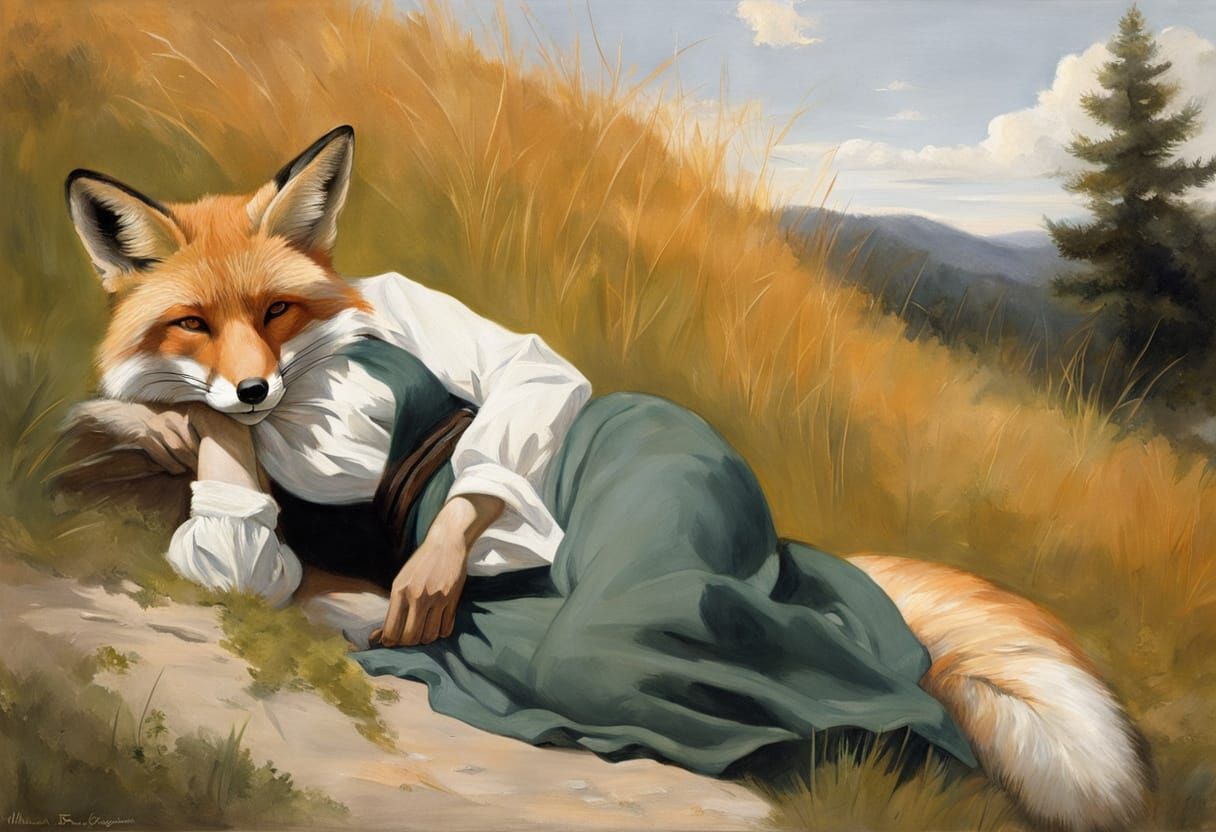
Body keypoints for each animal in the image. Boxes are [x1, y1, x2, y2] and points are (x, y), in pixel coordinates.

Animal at [61, 125, 1150, 831]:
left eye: (276, 311)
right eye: (192, 323)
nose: (249, 389)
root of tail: (791, 556)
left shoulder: (434, 322)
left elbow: (524, 374)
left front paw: (429, 567)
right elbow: (237, 548)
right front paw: (171, 425)